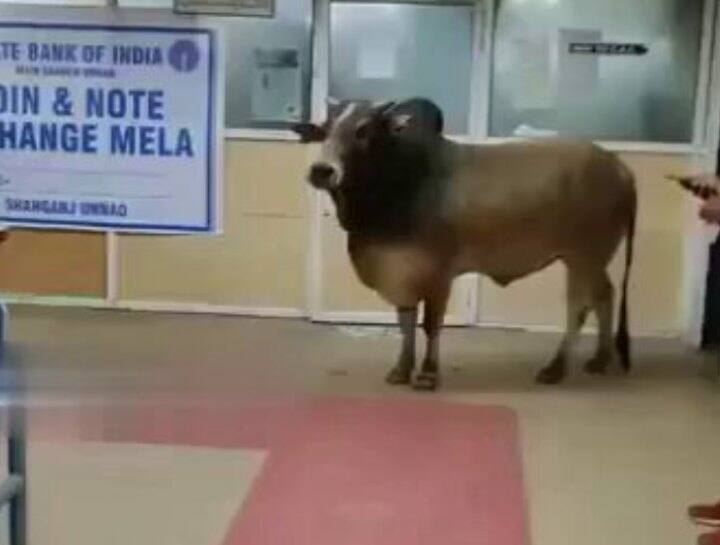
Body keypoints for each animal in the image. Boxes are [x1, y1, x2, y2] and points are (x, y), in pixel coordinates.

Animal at [293, 98, 637, 391]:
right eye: (323, 130)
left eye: (363, 129)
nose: (322, 171)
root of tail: (618, 166)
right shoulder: (402, 271)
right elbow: (406, 321)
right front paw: (401, 370)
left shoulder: (437, 275)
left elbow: (430, 325)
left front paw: (428, 375)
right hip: (589, 259)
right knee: (605, 295)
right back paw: (599, 359)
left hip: (584, 256)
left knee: (579, 306)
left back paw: (555, 369)